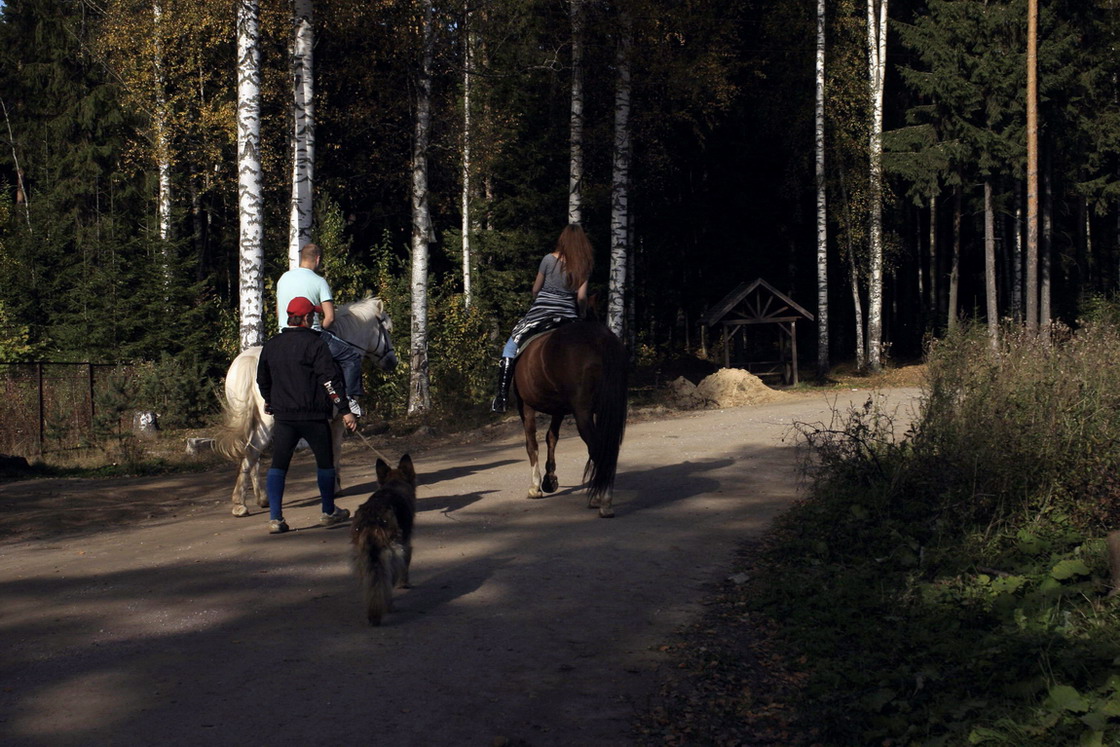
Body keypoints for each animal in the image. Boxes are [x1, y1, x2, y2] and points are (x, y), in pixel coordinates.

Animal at [213, 295, 398, 517]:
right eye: (386, 330)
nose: (392, 361)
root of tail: (248, 360)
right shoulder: (336, 421)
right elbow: (334, 450)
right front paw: (335, 486)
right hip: (268, 422)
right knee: (252, 451)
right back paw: (240, 503)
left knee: (253, 453)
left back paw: (261, 498)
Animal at [349, 456, 416, 627]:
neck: (394, 485)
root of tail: (372, 519)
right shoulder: (407, 546)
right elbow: (405, 568)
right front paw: (404, 584)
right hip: (393, 554)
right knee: (386, 583)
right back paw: (388, 607)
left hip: (364, 558)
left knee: (373, 585)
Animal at [512, 318, 627, 517]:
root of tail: (601, 337)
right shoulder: (558, 409)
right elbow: (551, 438)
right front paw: (550, 480)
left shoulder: (526, 406)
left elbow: (532, 445)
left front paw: (536, 487)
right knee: (607, 450)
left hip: (582, 413)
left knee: (598, 449)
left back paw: (604, 501)